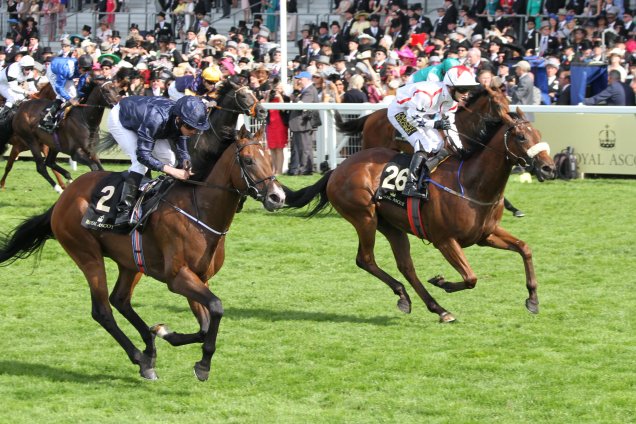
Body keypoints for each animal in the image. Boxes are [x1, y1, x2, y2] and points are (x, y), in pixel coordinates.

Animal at [0, 125, 286, 380]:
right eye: (248, 160)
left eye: (270, 159)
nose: (277, 197)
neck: (200, 211)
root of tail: (64, 198)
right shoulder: (178, 277)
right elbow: (216, 307)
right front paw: (202, 364)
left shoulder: (200, 278)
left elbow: (205, 326)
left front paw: (164, 332)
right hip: (86, 254)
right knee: (102, 310)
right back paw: (140, 358)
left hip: (132, 261)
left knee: (120, 299)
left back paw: (149, 349)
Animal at [284, 87, 556, 324]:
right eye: (521, 136)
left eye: (539, 135)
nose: (548, 168)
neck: (471, 183)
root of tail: (337, 170)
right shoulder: (445, 240)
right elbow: (471, 277)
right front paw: (442, 282)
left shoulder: (485, 234)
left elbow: (525, 248)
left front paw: (533, 299)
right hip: (365, 217)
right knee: (366, 259)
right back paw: (408, 295)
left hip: (391, 225)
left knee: (406, 267)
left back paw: (435, 307)